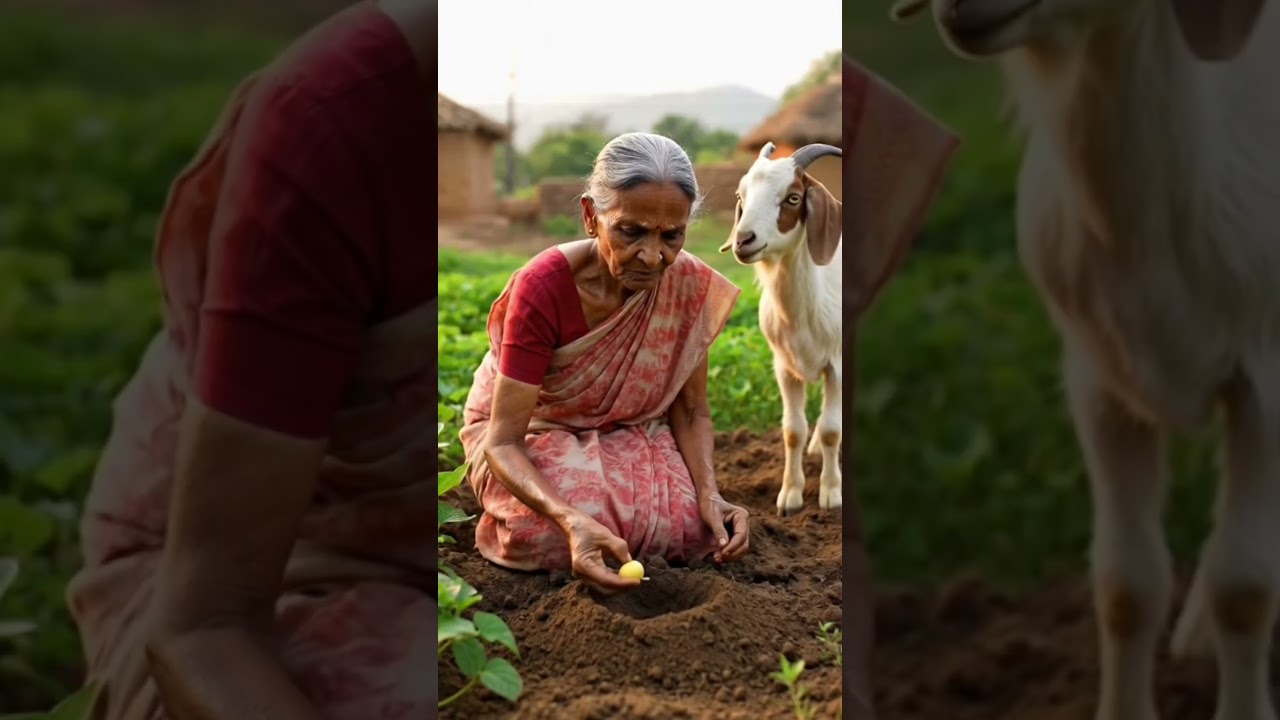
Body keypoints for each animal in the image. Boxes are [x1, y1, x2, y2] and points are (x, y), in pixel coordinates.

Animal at [719, 142, 844, 517]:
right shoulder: (784, 366)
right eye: (741, 195)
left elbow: (832, 429)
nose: (744, 240)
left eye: (792, 197)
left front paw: (831, 494)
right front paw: (790, 496)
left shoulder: (837, 363)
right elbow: (792, 431)